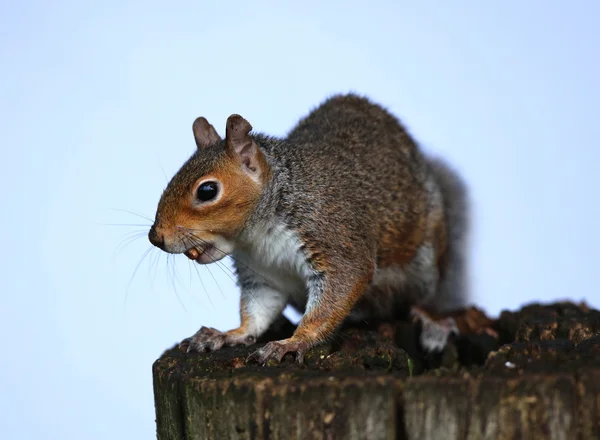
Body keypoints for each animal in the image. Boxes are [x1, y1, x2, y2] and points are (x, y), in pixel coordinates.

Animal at [149, 93, 468, 364]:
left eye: (207, 191)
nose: (155, 237)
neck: (258, 235)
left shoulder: (333, 238)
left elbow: (334, 295)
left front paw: (292, 342)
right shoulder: (263, 275)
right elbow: (258, 311)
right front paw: (229, 335)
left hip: (426, 264)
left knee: (421, 299)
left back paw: (431, 322)